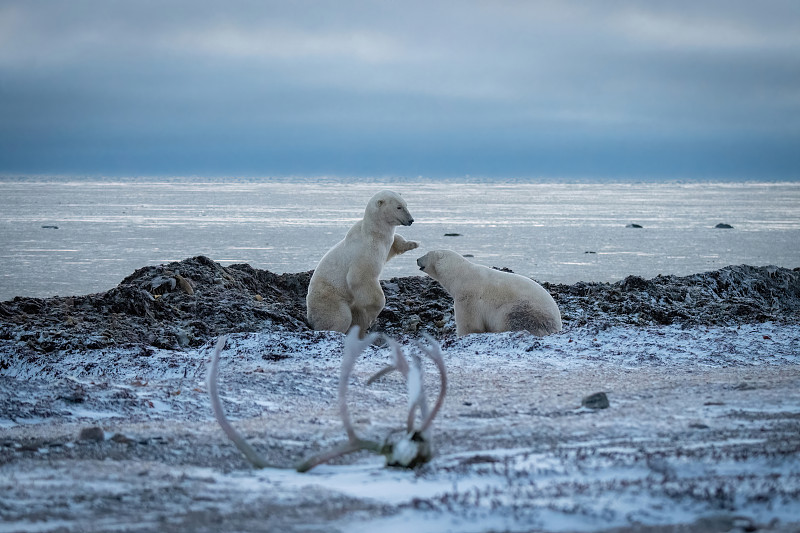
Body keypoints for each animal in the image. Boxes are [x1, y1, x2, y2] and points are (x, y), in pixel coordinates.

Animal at [306, 189, 418, 334]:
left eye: (406, 205)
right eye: (399, 207)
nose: (411, 220)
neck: (373, 232)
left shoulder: (384, 244)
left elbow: (393, 244)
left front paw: (412, 244)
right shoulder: (366, 251)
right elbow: (360, 278)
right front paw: (374, 309)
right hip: (329, 298)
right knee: (340, 317)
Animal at [418, 250, 564, 334]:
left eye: (426, 254)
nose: (417, 259)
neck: (461, 274)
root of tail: (557, 325)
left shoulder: (468, 296)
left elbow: (469, 322)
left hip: (525, 310)